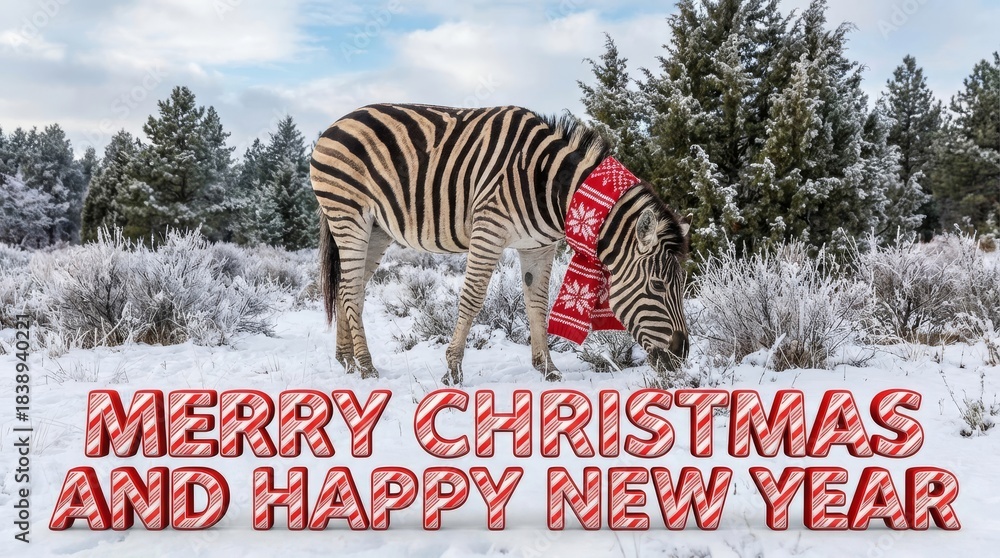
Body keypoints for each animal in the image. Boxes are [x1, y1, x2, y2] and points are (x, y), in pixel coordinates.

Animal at [310, 103, 690, 384]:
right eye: (658, 285)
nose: (682, 355)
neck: (549, 185)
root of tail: (333, 125)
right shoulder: (488, 229)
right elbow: (473, 298)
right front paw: (452, 369)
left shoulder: (538, 246)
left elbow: (537, 302)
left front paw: (548, 368)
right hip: (349, 216)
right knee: (349, 289)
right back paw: (366, 366)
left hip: (377, 230)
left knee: (348, 289)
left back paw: (347, 360)